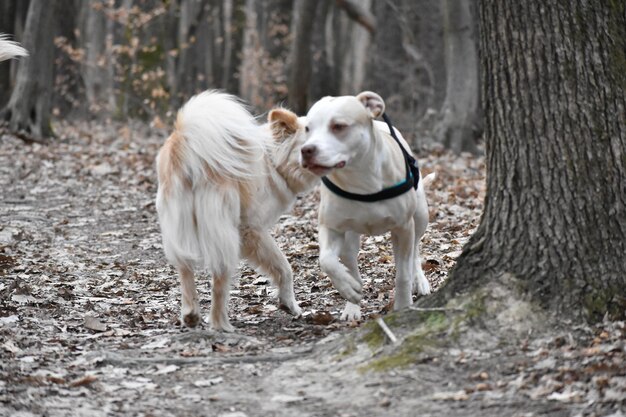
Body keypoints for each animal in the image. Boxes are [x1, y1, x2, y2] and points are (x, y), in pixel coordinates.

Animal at [156, 91, 316, 332]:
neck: (273, 161)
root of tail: (189, 149)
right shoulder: (252, 229)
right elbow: (284, 267)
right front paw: (290, 304)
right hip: (224, 231)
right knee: (219, 280)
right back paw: (221, 323)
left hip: (179, 226)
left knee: (185, 268)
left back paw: (191, 315)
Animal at [300, 91, 432, 318]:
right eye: (308, 128)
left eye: (338, 126)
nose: (307, 150)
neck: (361, 180)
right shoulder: (331, 227)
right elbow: (326, 260)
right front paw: (348, 288)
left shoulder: (404, 228)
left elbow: (403, 273)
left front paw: (403, 305)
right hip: (350, 236)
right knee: (350, 261)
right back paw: (352, 302)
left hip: (420, 215)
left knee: (415, 250)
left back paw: (420, 280)